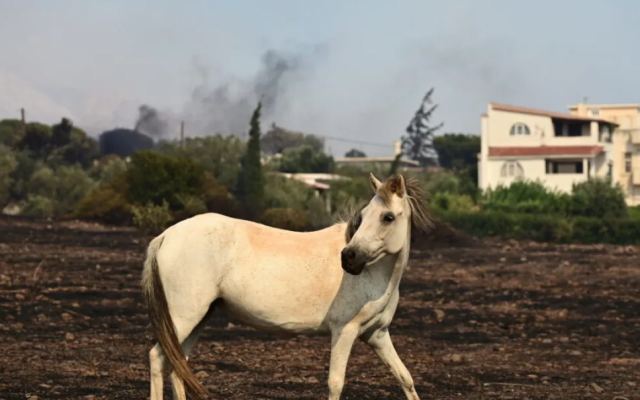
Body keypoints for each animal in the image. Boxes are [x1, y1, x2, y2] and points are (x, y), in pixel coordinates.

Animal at [140, 173, 430, 398]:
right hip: (183, 317)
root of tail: (165, 236)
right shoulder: (344, 331)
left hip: (199, 318)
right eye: (365, 215)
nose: (349, 257)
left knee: (178, 364)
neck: (375, 275)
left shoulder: (377, 335)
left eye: (388, 217)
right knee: (157, 358)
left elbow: (405, 378)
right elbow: (335, 384)